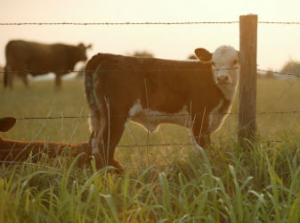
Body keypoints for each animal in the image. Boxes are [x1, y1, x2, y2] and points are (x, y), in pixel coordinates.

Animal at [84, 45, 239, 171]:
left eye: (235, 61)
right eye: (213, 63)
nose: (222, 78)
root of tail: (106, 55)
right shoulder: (200, 118)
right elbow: (206, 149)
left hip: (98, 115)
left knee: (93, 145)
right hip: (115, 116)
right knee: (104, 148)